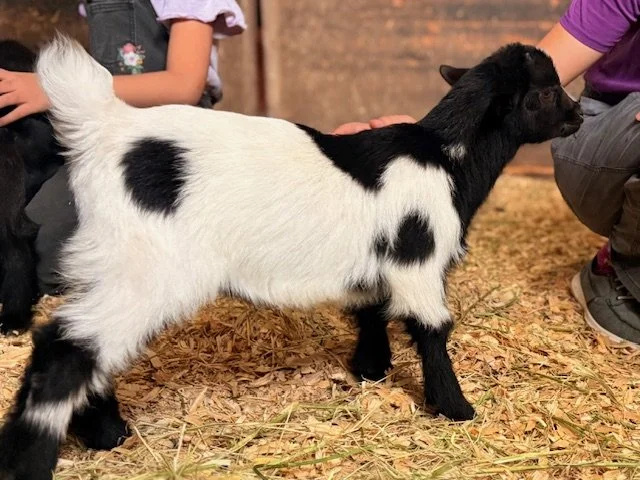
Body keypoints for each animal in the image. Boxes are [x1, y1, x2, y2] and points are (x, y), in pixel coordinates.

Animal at [0, 35, 582, 480]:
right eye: (547, 91)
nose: (578, 115)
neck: (445, 158)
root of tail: (105, 130)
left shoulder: (377, 266)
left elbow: (370, 310)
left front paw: (370, 370)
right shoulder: (419, 258)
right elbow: (432, 328)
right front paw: (456, 407)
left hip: (108, 261)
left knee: (84, 347)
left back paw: (107, 433)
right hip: (148, 270)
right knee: (64, 347)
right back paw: (30, 459)